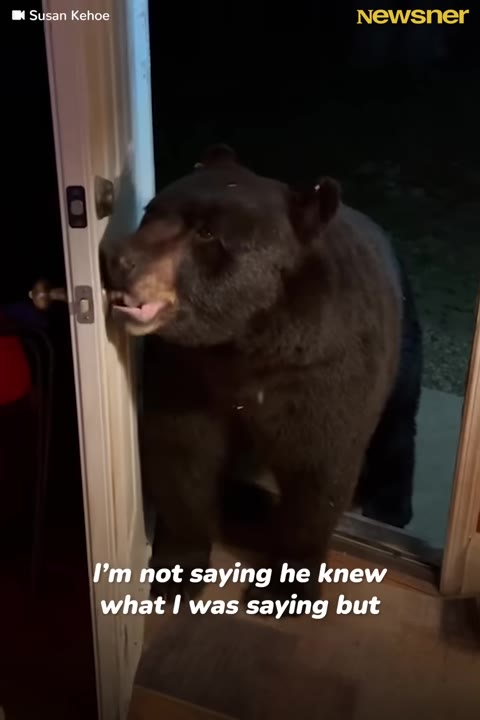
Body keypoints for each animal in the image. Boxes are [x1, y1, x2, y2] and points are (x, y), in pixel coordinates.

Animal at [100, 144, 422, 608]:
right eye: (151, 211)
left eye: (207, 234)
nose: (116, 258)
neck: (248, 344)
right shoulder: (187, 370)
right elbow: (181, 454)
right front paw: (177, 569)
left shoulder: (326, 373)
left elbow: (319, 469)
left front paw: (286, 586)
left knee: (399, 420)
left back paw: (390, 505)